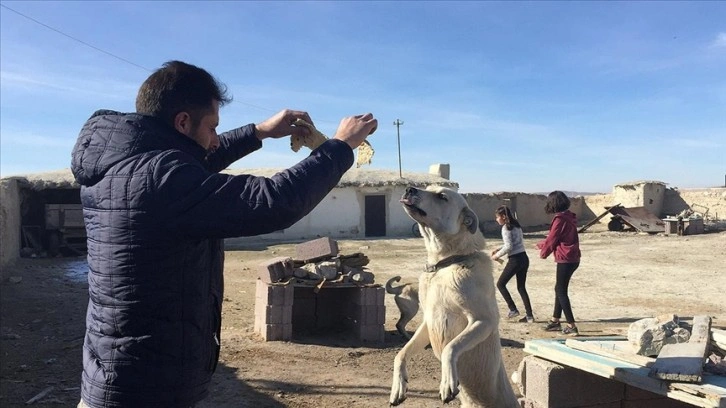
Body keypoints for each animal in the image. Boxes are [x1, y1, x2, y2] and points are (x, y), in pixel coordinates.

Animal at [392, 186, 516, 408]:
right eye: (428, 189)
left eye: (442, 196)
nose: (409, 188)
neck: (444, 265)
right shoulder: (428, 322)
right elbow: (400, 354)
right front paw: (398, 386)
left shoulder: (484, 321)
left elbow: (451, 347)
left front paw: (447, 383)